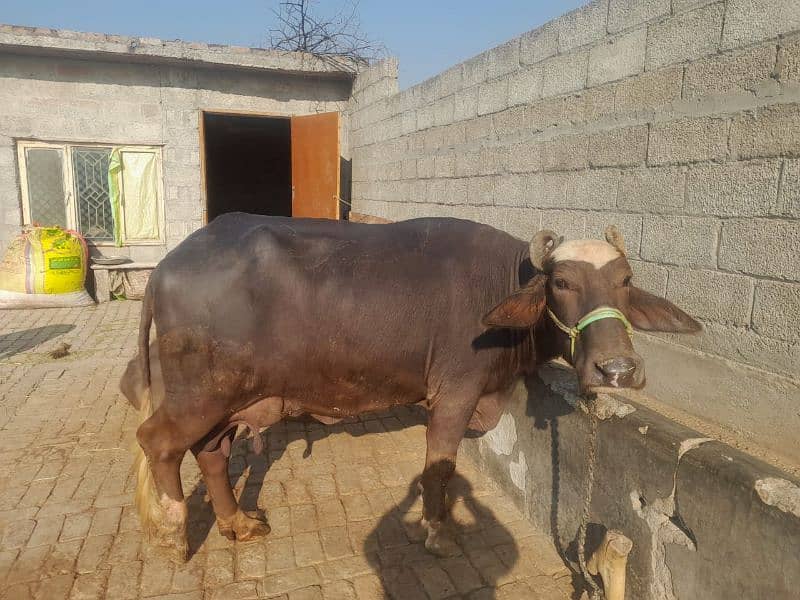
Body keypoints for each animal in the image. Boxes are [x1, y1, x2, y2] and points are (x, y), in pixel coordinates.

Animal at [120, 213, 700, 560]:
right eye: (561, 283)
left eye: (625, 281)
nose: (616, 369)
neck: (500, 288)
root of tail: (168, 265)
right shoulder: (455, 394)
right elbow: (438, 469)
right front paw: (437, 531)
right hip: (202, 393)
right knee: (158, 442)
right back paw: (172, 535)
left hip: (229, 398)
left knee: (211, 453)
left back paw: (238, 522)